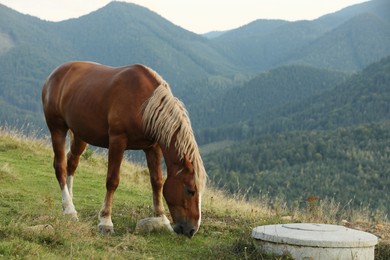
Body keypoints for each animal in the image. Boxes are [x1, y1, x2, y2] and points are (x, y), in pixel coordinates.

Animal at [42, 61, 207, 238]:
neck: (145, 103)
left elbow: (157, 181)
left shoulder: (153, 147)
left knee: (71, 163)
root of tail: (54, 74)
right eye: (190, 191)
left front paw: (162, 218)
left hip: (80, 135)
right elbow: (112, 180)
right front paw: (105, 221)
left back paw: (69, 202)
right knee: (60, 166)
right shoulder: (117, 141)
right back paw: (69, 209)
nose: (191, 230)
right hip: (57, 128)